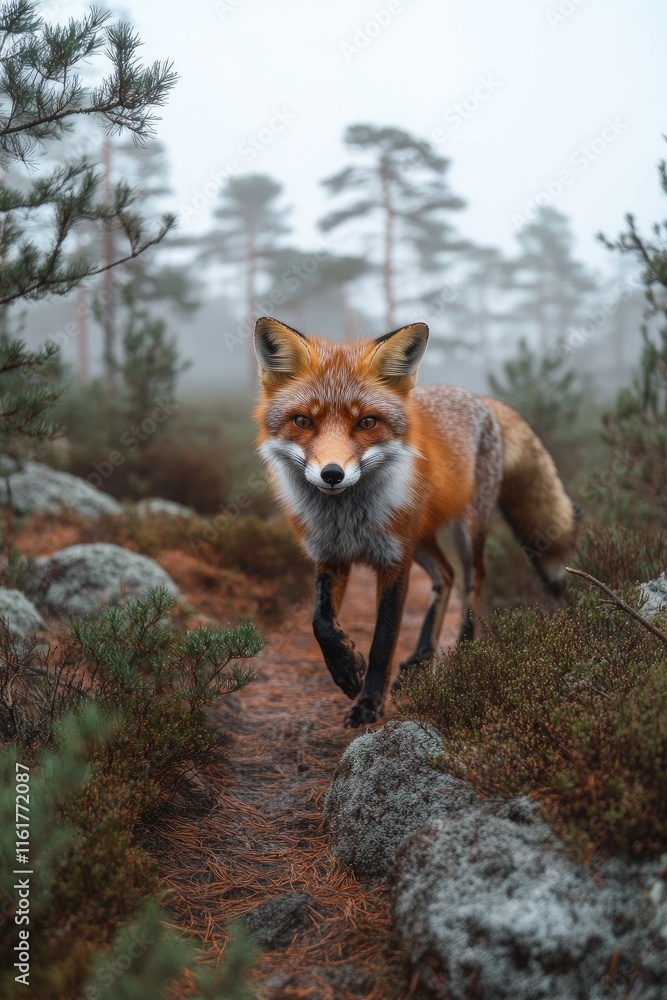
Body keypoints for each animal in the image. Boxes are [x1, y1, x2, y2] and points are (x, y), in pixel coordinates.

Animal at [254, 316, 581, 728]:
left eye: (367, 423)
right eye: (303, 421)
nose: (332, 474)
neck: (347, 520)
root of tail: (479, 399)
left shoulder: (394, 564)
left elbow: (382, 643)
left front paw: (369, 704)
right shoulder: (331, 556)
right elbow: (320, 623)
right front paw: (345, 668)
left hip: (462, 532)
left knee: (473, 580)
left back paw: (465, 654)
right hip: (419, 539)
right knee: (446, 576)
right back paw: (421, 659)